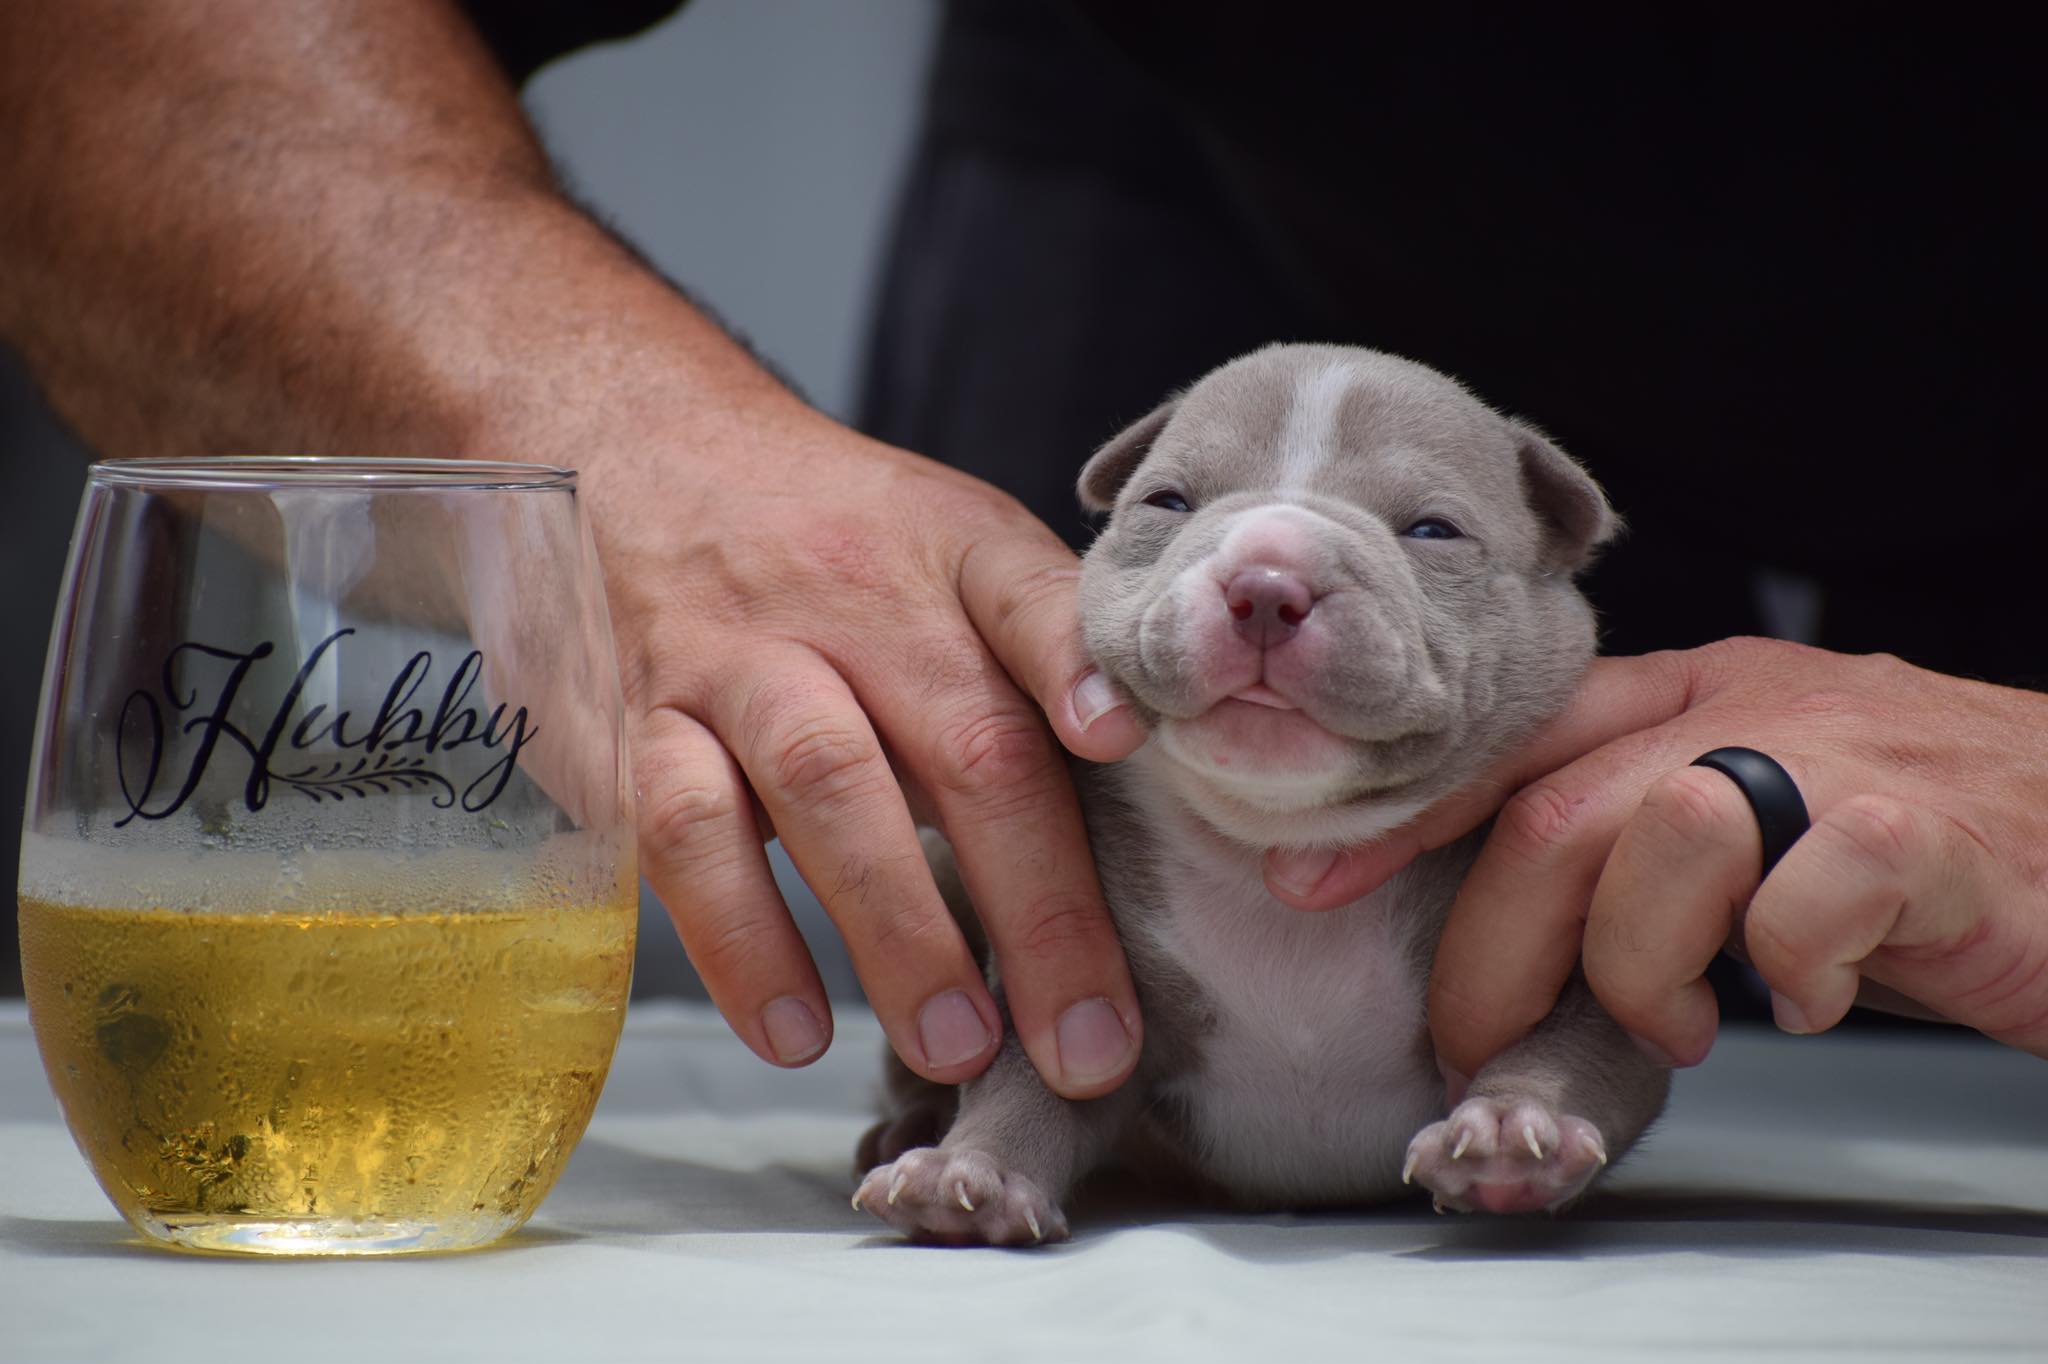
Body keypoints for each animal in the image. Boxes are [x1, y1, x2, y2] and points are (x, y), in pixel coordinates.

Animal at [847, 342, 1662, 1245]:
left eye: (1432, 530)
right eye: (1168, 502)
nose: (1268, 584)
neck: (1281, 832)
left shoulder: (1582, 934)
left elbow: (1582, 1037)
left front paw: (1516, 1129)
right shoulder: (1087, 984)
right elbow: (1037, 1072)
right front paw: (971, 1172)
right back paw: (911, 1127)